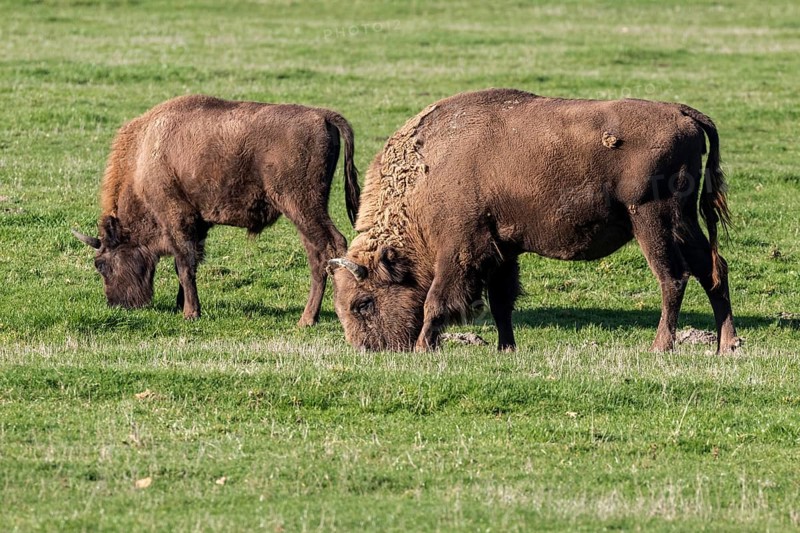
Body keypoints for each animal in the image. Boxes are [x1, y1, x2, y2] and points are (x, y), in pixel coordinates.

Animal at [73, 94, 359, 325]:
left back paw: (311, 318)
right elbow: (188, 264)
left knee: (331, 246)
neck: (146, 154)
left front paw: (190, 313)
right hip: (304, 212)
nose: (116, 304)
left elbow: (184, 264)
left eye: (101, 264)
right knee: (316, 255)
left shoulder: (176, 217)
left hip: (301, 204)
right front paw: (182, 306)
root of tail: (323, 116)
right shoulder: (198, 223)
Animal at [329, 88, 739, 353]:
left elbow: (437, 300)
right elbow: (501, 302)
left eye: (363, 303)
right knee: (713, 271)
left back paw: (660, 347)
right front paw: (505, 348)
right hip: (684, 223)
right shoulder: (501, 250)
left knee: (674, 278)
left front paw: (422, 347)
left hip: (653, 220)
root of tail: (683, 113)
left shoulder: (460, 250)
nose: (367, 349)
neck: (424, 171)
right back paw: (726, 345)